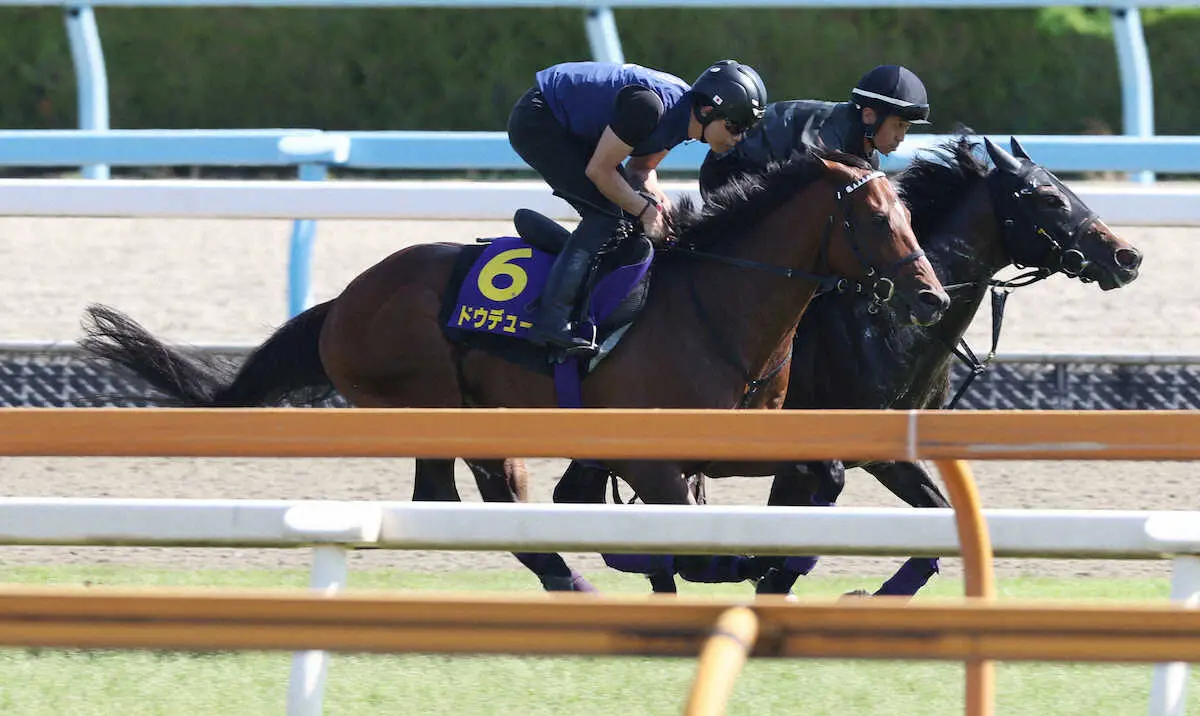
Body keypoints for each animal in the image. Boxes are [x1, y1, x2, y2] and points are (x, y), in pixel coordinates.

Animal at [79, 148, 950, 590]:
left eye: (910, 214)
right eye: (877, 217)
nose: (932, 295)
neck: (720, 303)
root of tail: (346, 300)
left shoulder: (756, 441)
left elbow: (812, 487)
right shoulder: (653, 456)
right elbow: (684, 538)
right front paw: (722, 566)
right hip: (436, 407)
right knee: (459, 499)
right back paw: (570, 578)